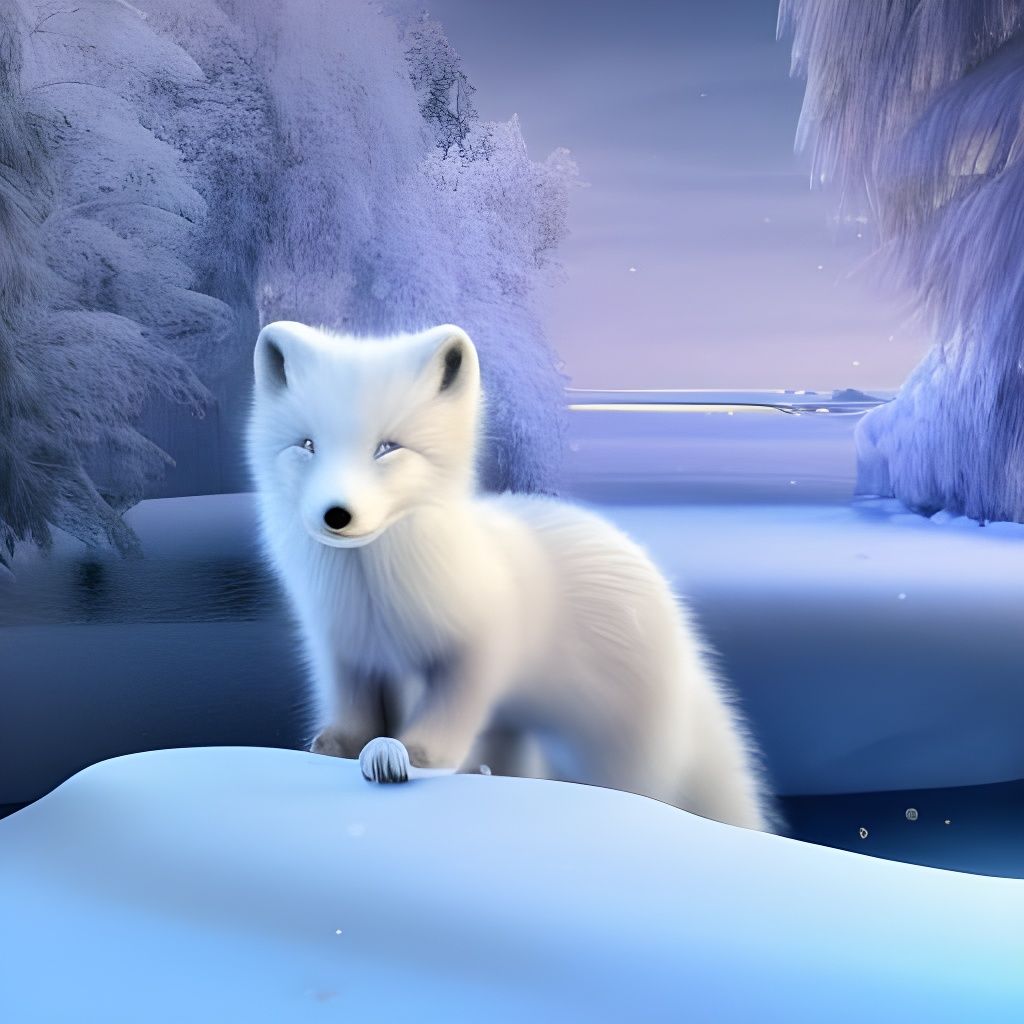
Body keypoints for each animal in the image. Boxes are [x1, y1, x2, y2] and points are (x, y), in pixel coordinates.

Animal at [247, 321, 773, 831]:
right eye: (307, 445)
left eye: (387, 448)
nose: (336, 514)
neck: (372, 599)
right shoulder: (342, 650)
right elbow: (349, 710)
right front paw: (335, 747)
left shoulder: (475, 652)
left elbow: (448, 716)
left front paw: (413, 756)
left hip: (615, 742)